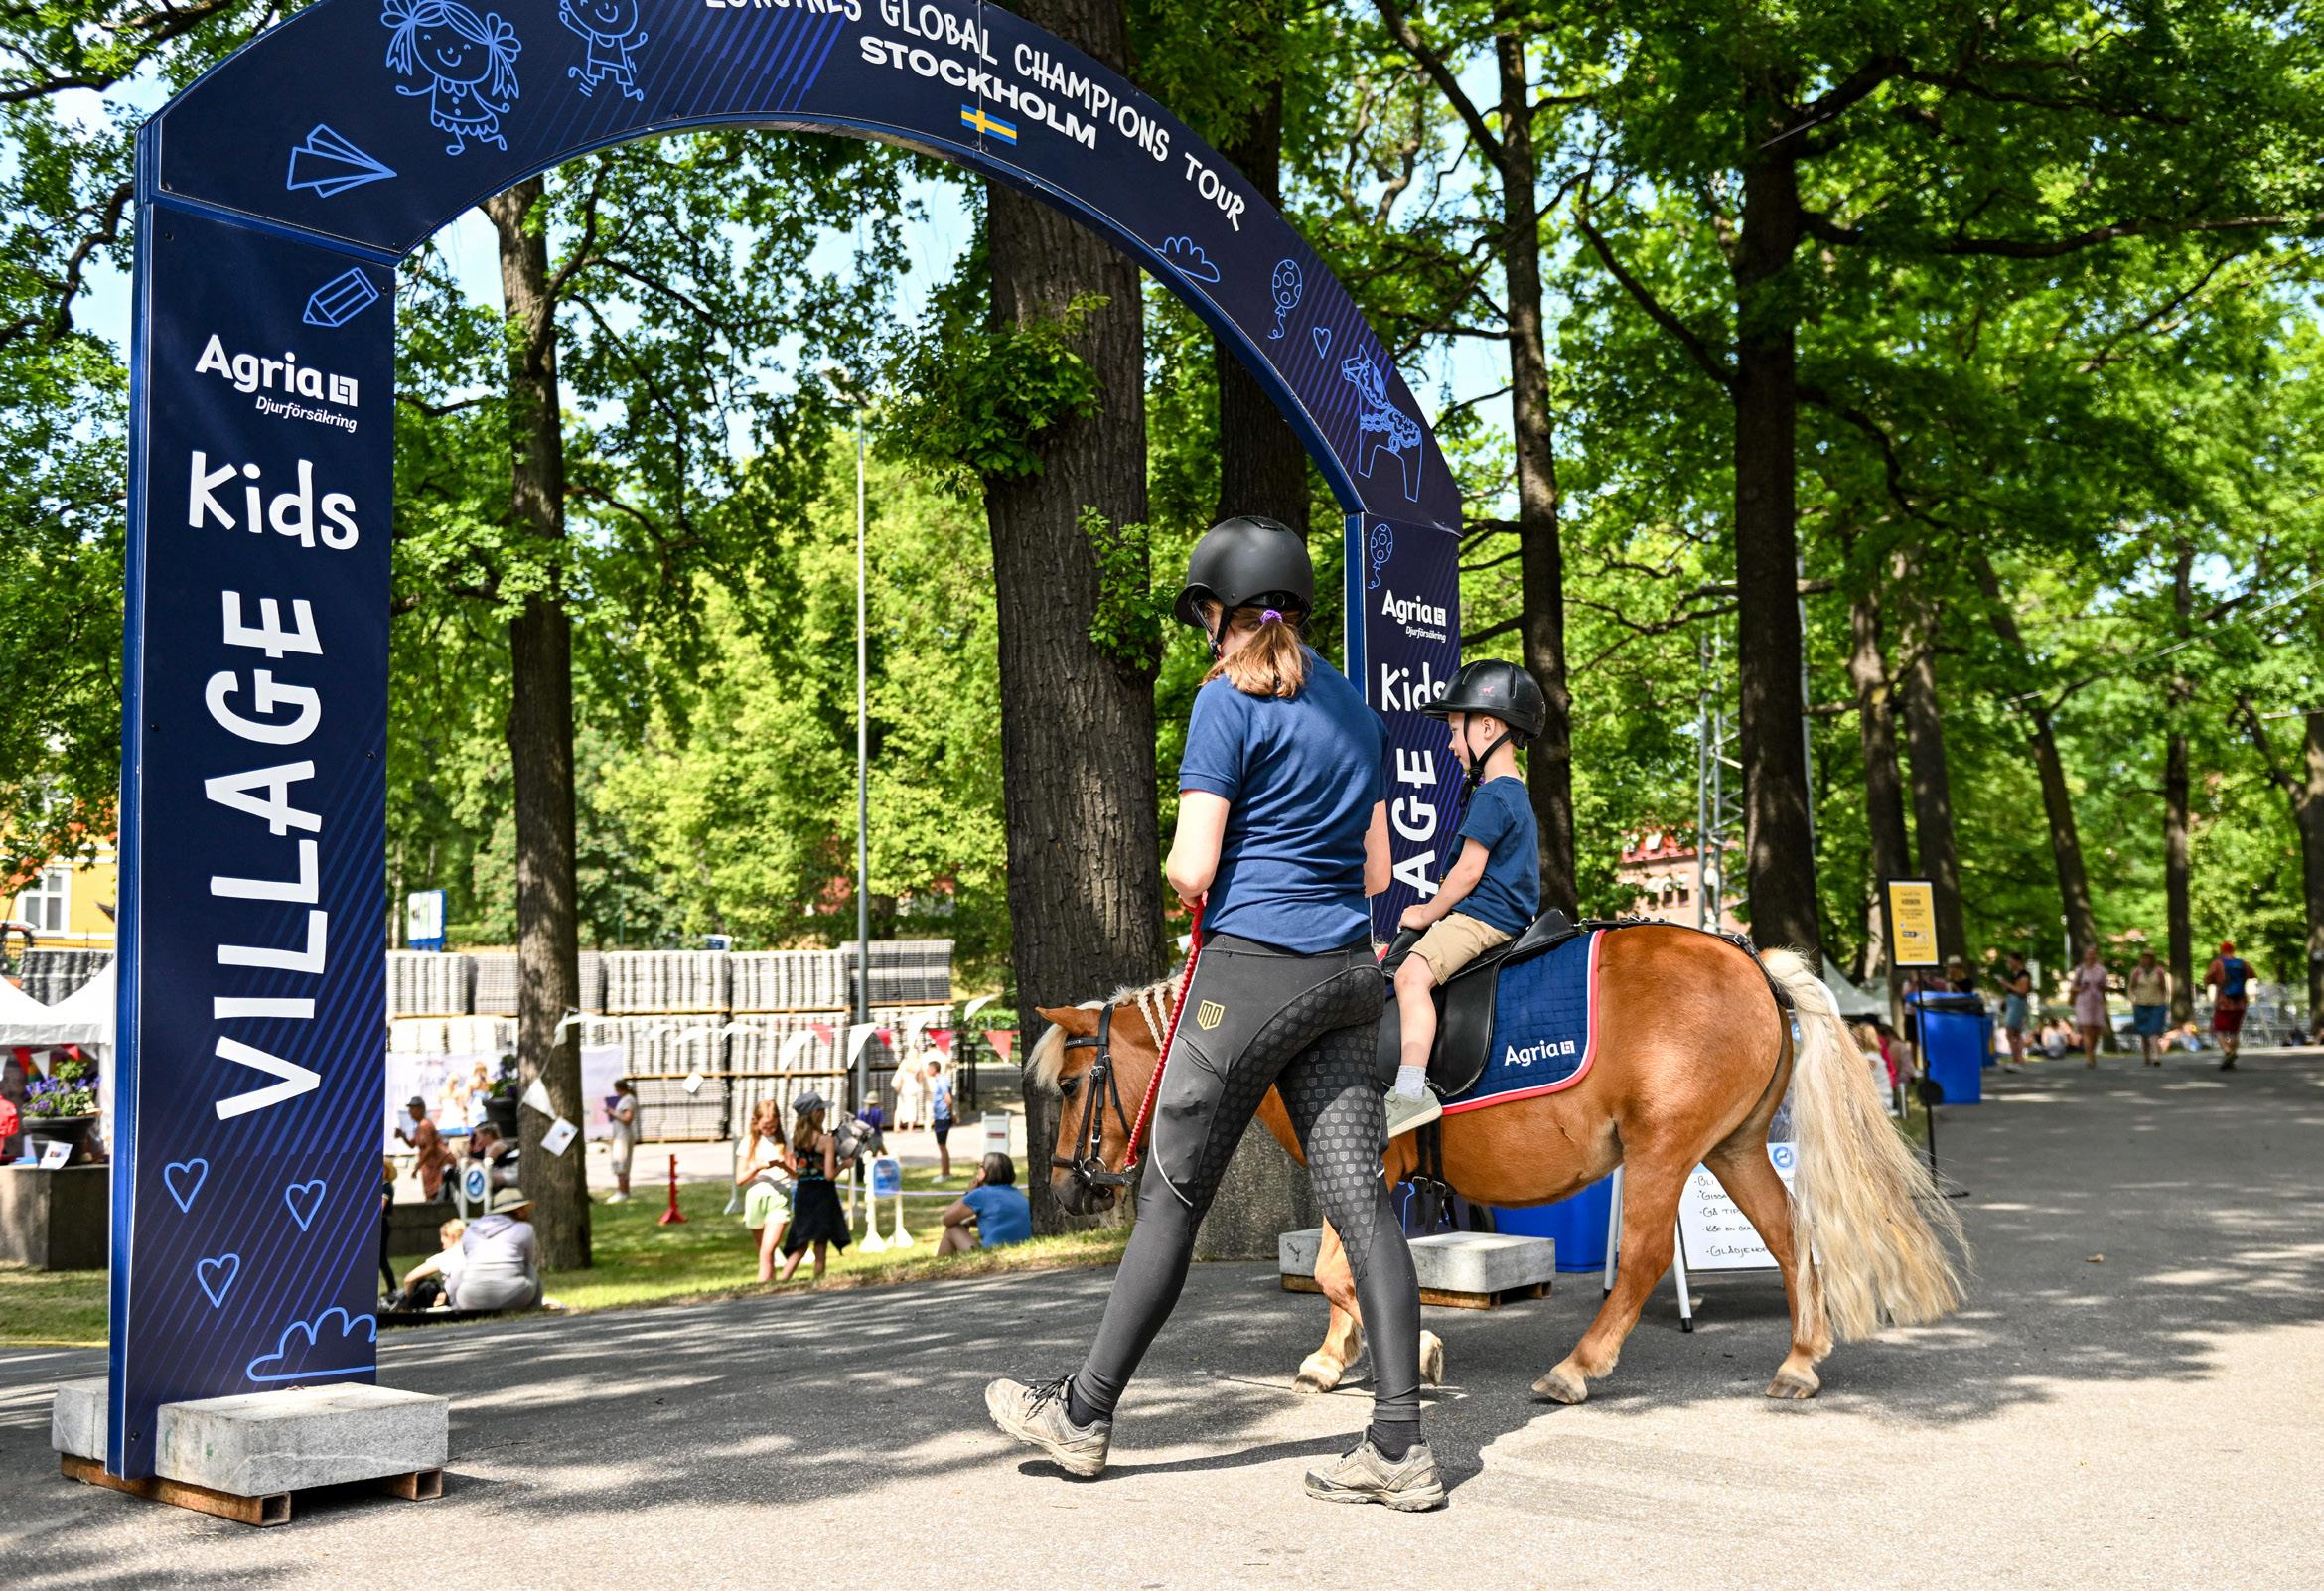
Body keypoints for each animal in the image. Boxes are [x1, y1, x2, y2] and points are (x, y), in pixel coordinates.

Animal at [1026, 924, 1964, 1404]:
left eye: (1072, 1084)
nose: (1068, 1189)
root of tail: (1750, 964)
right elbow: (1338, 1270)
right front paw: (1340, 1354)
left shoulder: (1368, 1165)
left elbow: (1341, 1269)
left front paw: (1415, 1347)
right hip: (1731, 1150)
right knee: (1788, 1234)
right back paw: (1800, 1360)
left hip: (1664, 1154)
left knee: (1644, 1260)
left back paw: (1577, 1368)